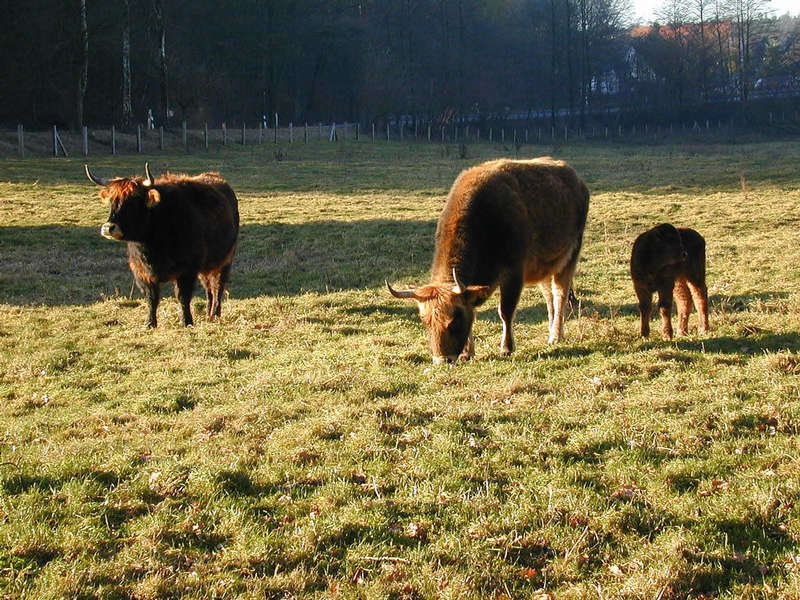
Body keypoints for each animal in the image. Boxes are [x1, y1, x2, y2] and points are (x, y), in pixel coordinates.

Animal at [87, 163, 239, 328]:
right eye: (112, 201)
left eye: (133, 201)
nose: (108, 228)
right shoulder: (141, 272)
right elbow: (151, 298)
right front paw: (150, 323)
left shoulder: (187, 270)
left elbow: (183, 297)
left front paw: (187, 321)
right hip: (206, 266)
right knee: (208, 289)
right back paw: (208, 314)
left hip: (225, 260)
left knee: (217, 287)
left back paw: (215, 314)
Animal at [386, 157, 588, 364]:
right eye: (425, 322)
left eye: (454, 321)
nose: (442, 360)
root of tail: (576, 179)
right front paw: (467, 353)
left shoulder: (514, 274)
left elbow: (505, 311)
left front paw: (507, 348)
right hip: (545, 266)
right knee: (549, 297)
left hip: (569, 257)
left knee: (560, 295)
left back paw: (555, 336)